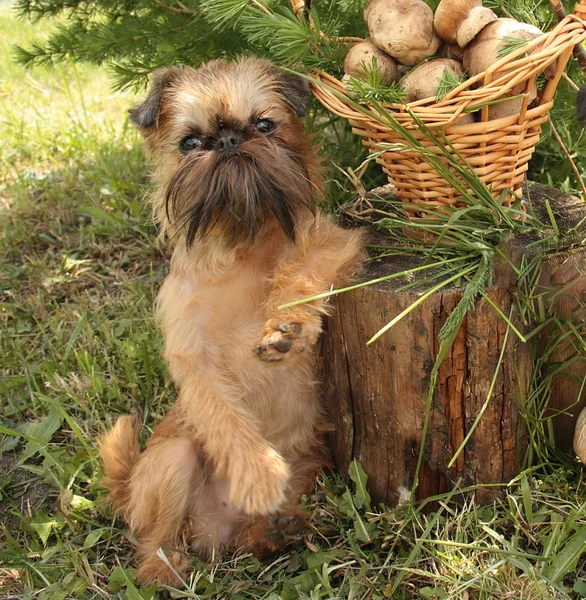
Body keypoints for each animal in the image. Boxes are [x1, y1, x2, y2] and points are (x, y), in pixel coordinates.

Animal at [98, 57, 362, 584]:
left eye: (264, 125)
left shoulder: (331, 240)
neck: (244, 247)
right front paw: (257, 473)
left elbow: (302, 269)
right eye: (189, 143)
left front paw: (287, 330)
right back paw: (165, 570)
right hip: (173, 460)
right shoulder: (192, 361)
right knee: (155, 541)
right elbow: (222, 416)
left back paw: (275, 532)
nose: (227, 141)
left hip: (310, 467)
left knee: (246, 537)